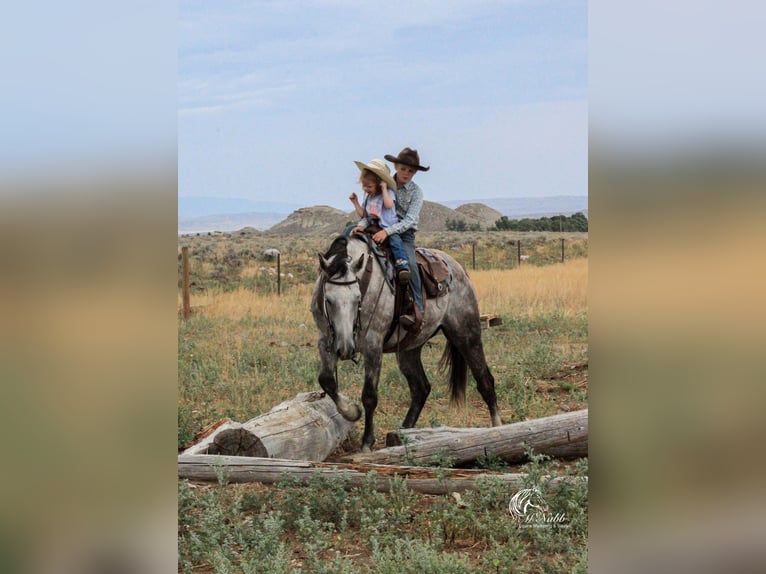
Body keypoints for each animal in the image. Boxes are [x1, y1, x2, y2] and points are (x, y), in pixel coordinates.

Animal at [312, 236, 504, 452]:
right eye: (328, 299)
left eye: (357, 298)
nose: (345, 348)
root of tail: (459, 270)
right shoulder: (325, 340)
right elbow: (326, 380)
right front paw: (351, 411)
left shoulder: (373, 346)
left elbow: (369, 396)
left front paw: (367, 442)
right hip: (409, 349)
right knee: (421, 388)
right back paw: (403, 434)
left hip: (466, 335)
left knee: (485, 380)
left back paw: (498, 429)